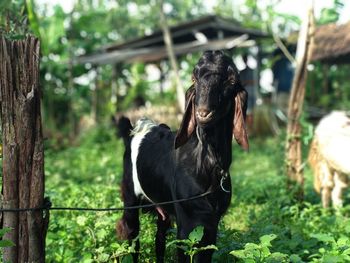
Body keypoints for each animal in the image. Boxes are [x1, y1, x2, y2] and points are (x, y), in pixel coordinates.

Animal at [117, 50, 249, 262]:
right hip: (130, 198)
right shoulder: (187, 225)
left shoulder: (211, 224)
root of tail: (138, 129)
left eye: (230, 80)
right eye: (194, 79)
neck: (207, 165)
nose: (203, 113)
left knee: (159, 240)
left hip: (162, 207)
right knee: (132, 238)